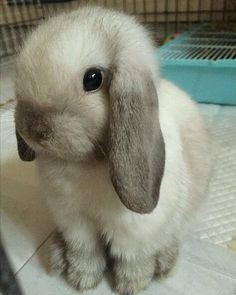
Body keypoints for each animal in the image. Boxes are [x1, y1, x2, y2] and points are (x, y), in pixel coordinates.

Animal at [14, 4, 210, 295]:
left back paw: (165, 263)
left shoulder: (135, 232)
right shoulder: (75, 222)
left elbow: (133, 259)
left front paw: (131, 285)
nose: (34, 129)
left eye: (93, 79)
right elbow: (85, 252)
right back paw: (57, 256)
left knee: (171, 238)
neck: (87, 162)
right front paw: (83, 280)